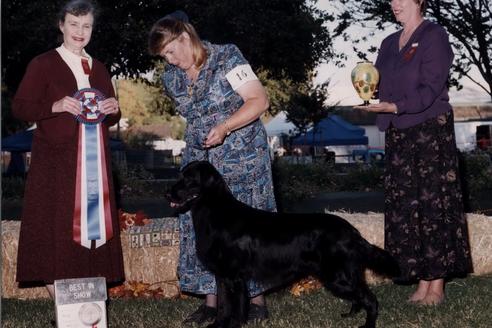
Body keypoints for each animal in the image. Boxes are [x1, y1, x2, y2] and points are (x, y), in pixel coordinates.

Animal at [167, 161, 398, 328]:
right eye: (179, 175)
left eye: (189, 179)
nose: (167, 193)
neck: (216, 213)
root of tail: (352, 231)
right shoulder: (223, 276)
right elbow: (223, 306)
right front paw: (217, 325)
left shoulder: (235, 277)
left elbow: (237, 308)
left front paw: (233, 325)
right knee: (360, 298)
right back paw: (349, 315)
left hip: (338, 276)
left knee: (371, 299)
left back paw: (367, 325)